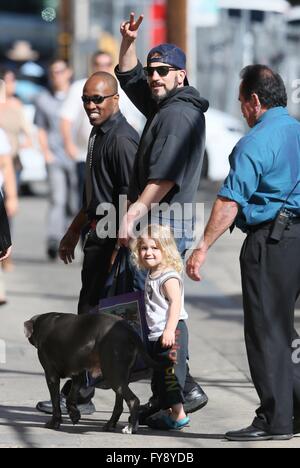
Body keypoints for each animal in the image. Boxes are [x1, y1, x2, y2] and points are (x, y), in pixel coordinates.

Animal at [24, 312, 163, 434]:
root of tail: (129, 329)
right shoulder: (78, 375)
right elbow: (70, 396)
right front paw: (74, 414)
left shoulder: (51, 375)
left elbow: (55, 401)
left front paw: (54, 423)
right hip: (121, 377)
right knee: (119, 405)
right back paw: (110, 424)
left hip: (113, 375)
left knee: (133, 400)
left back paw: (130, 428)